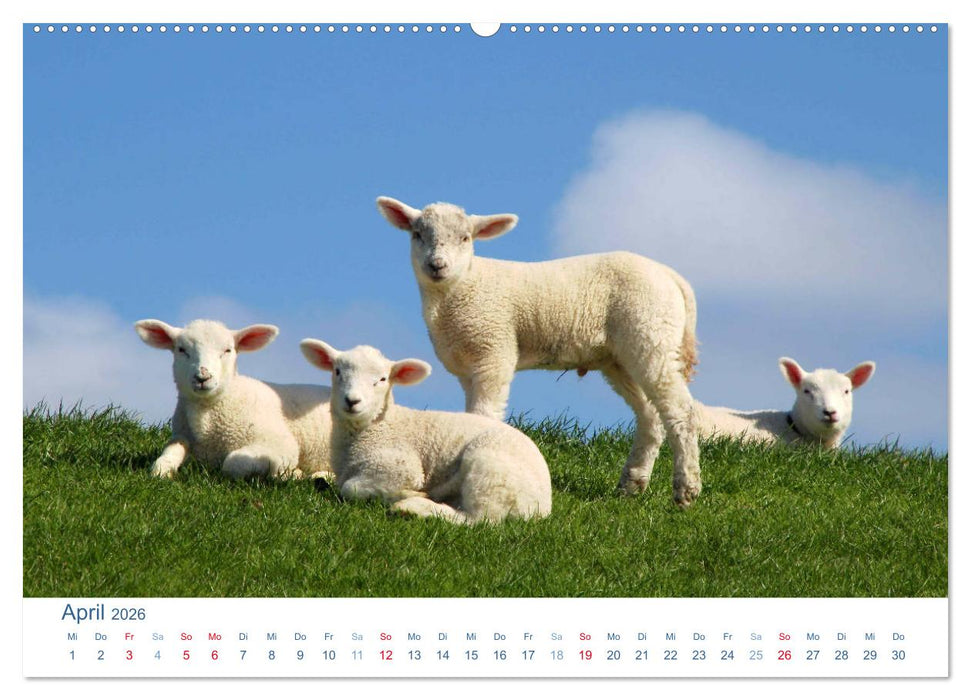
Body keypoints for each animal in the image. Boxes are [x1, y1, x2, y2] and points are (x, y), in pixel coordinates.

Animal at [135, 319, 333, 480]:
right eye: (182, 350)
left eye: (227, 350)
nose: (203, 377)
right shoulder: (182, 435)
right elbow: (167, 454)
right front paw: (163, 471)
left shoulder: (279, 443)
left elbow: (231, 463)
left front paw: (293, 473)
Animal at [300, 339, 552, 524]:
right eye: (337, 371)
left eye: (382, 379)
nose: (352, 401)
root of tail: (542, 505)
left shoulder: (398, 466)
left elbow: (349, 488)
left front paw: (405, 494)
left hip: (489, 473)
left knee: (477, 519)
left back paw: (413, 508)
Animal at [375, 196, 701, 507]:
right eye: (417, 234)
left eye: (466, 238)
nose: (437, 265)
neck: (462, 287)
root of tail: (670, 276)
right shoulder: (468, 365)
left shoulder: (493, 350)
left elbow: (485, 412)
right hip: (621, 356)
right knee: (650, 414)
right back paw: (632, 483)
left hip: (650, 334)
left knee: (680, 410)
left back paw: (686, 488)